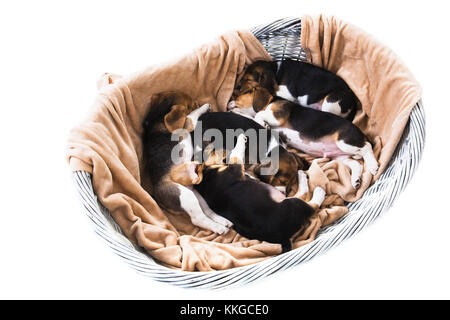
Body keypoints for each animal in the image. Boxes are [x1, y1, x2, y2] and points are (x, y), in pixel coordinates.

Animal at [142, 91, 234, 234]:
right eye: (190, 105)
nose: (197, 102)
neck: (158, 114)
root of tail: (157, 197)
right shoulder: (188, 122)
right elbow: (192, 114)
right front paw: (204, 107)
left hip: (196, 196)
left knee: (207, 211)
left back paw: (222, 221)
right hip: (186, 197)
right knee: (199, 219)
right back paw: (219, 228)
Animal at [195, 133, 326, 252]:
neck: (207, 176)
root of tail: (283, 238)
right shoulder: (235, 168)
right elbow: (237, 154)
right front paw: (241, 139)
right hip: (292, 203)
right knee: (308, 199)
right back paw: (312, 184)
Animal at [229, 59, 358, 120]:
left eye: (248, 79)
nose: (236, 89)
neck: (276, 71)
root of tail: (355, 102)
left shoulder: (286, 93)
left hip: (331, 100)